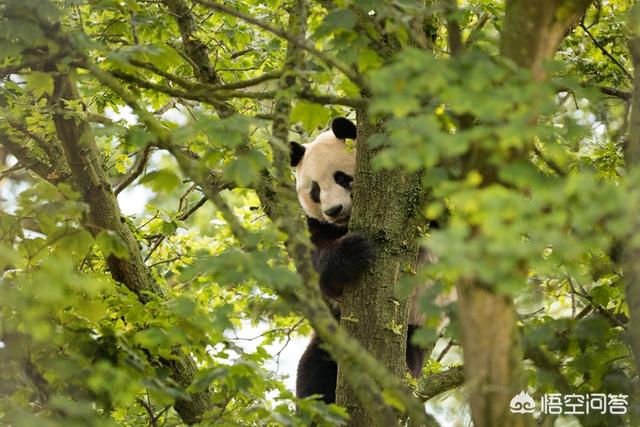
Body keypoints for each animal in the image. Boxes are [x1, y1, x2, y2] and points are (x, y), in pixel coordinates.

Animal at [290, 117, 424, 404]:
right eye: (315, 190)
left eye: (341, 177)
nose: (334, 210)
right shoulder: (318, 226)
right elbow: (315, 264)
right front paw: (353, 252)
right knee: (313, 372)